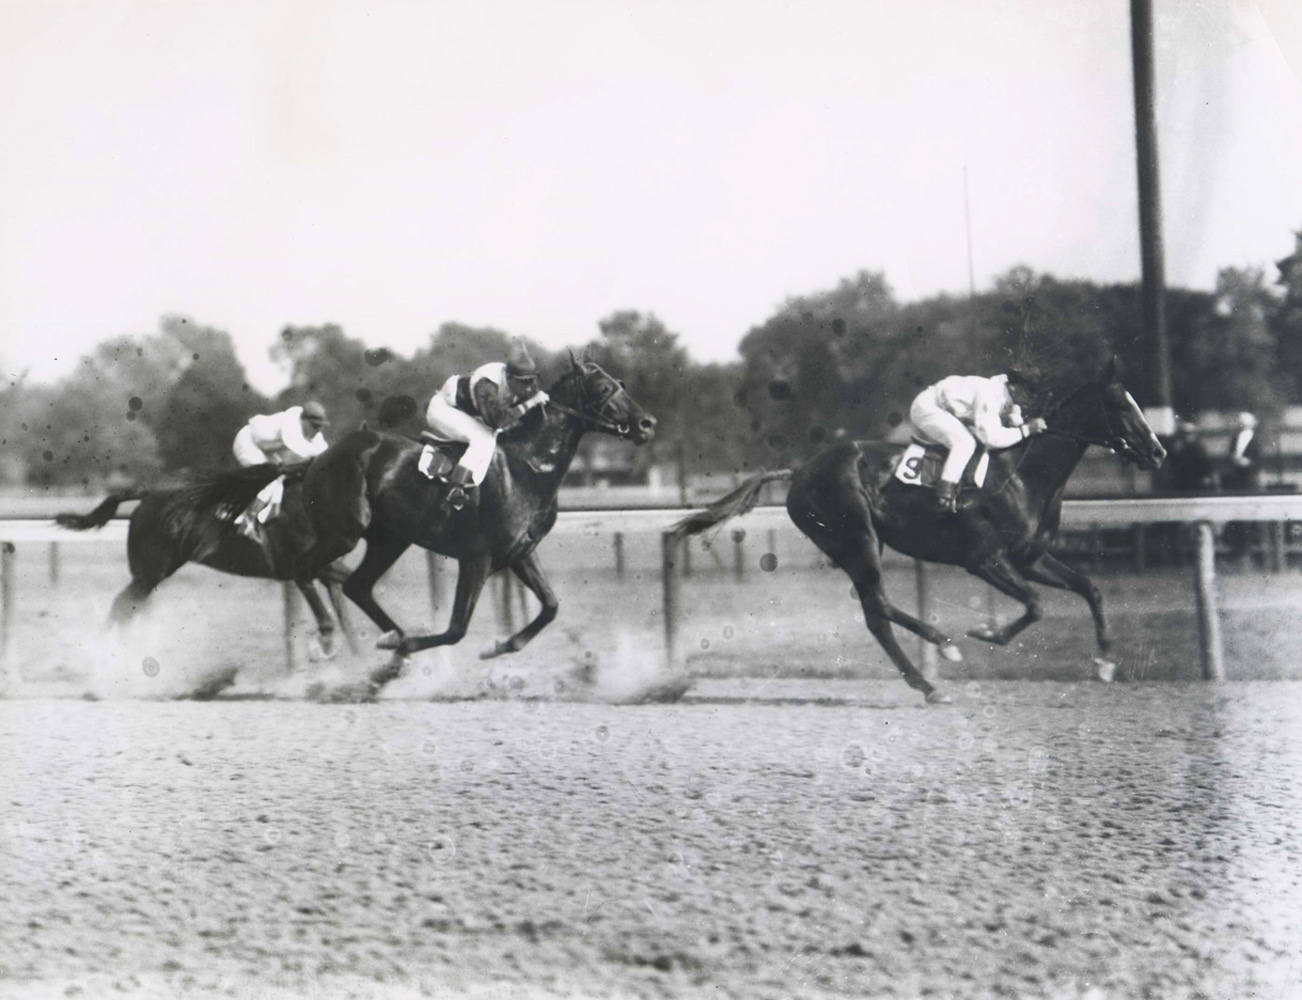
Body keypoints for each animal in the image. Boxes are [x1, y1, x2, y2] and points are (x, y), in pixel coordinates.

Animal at [56, 463, 356, 661]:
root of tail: (148, 495)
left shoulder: (323, 570)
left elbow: (345, 616)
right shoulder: (304, 567)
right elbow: (333, 611)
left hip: (150, 574)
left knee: (127, 608)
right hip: (149, 573)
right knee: (122, 606)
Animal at [291, 351, 656, 687]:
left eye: (622, 384)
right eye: (604, 388)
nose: (647, 424)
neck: (526, 467)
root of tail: (321, 456)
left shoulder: (520, 552)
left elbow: (551, 605)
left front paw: (500, 645)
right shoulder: (477, 557)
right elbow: (456, 630)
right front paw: (412, 647)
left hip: (390, 539)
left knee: (356, 585)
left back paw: (391, 643)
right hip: (343, 533)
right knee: (302, 570)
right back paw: (327, 641)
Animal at [671, 359, 1171, 703]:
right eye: (1121, 405)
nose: (1158, 452)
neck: (1023, 475)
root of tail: (799, 472)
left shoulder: (1030, 556)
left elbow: (1089, 588)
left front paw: (1104, 662)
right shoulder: (983, 560)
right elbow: (1035, 603)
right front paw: (987, 634)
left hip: (858, 544)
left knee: (877, 612)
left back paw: (930, 672)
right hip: (857, 540)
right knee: (877, 608)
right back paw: (938, 656)